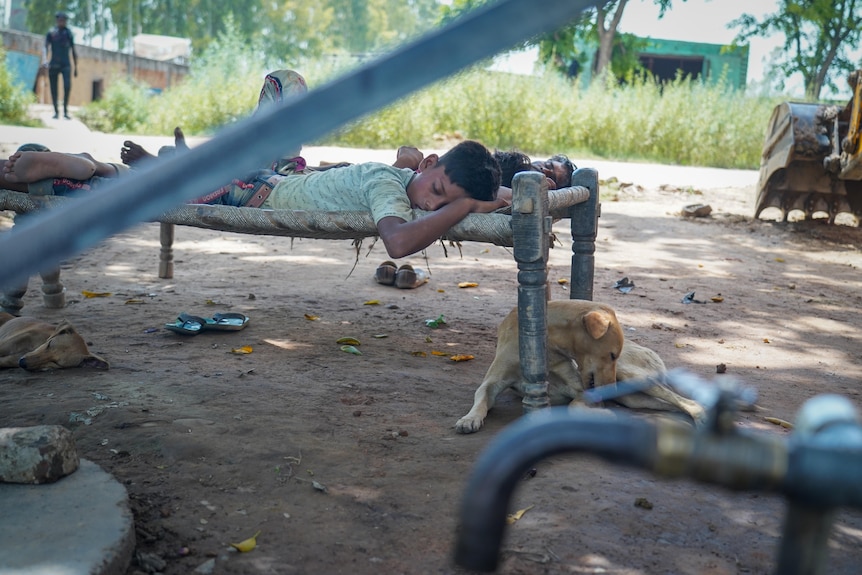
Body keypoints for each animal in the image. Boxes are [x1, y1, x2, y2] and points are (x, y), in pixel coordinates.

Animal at [456, 300, 704, 434]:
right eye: (611, 354)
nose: (610, 393)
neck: (549, 347)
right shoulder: (491, 382)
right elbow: (481, 398)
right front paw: (469, 418)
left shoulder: (582, 391)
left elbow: (573, 406)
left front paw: (604, 415)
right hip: (634, 397)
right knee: (672, 405)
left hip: (633, 378)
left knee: (686, 401)